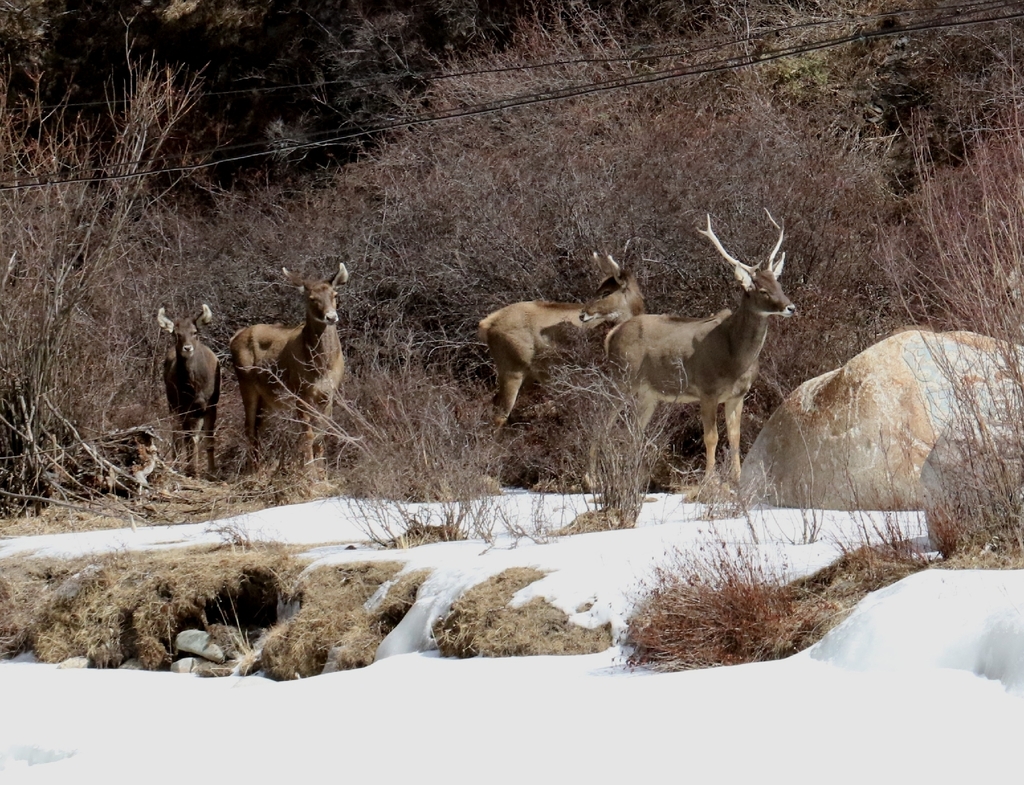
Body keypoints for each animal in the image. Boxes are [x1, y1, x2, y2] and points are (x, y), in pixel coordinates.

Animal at [157, 304, 221, 477]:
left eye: (194, 332)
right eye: (177, 334)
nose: (187, 347)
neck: (193, 386)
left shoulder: (208, 404)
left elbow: (204, 436)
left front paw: (209, 471)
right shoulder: (182, 405)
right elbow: (187, 437)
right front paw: (190, 468)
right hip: (172, 403)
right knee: (178, 434)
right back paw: (177, 463)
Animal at [229, 263, 349, 469]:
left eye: (335, 294)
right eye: (311, 298)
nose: (331, 317)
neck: (321, 366)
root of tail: (234, 337)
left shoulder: (330, 392)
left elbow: (323, 432)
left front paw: (323, 472)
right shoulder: (299, 391)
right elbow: (308, 434)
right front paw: (310, 471)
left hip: (267, 396)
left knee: (259, 426)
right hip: (245, 382)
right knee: (249, 427)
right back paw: (254, 469)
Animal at [478, 251, 644, 426]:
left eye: (606, 292)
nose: (583, 314)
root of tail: (488, 323)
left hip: (528, 374)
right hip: (512, 369)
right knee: (500, 415)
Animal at [589, 211, 795, 484]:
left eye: (779, 285)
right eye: (762, 289)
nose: (791, 307)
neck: (736, 358)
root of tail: (611, 335)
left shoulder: (738, 394)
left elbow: (736, 437)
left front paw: (737, 480)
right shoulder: (707, 390)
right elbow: (712, 437)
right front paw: (710, 480)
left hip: (647, 393)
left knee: (632, 431)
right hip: (621, 377)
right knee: (601, 422)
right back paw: (591, 478)